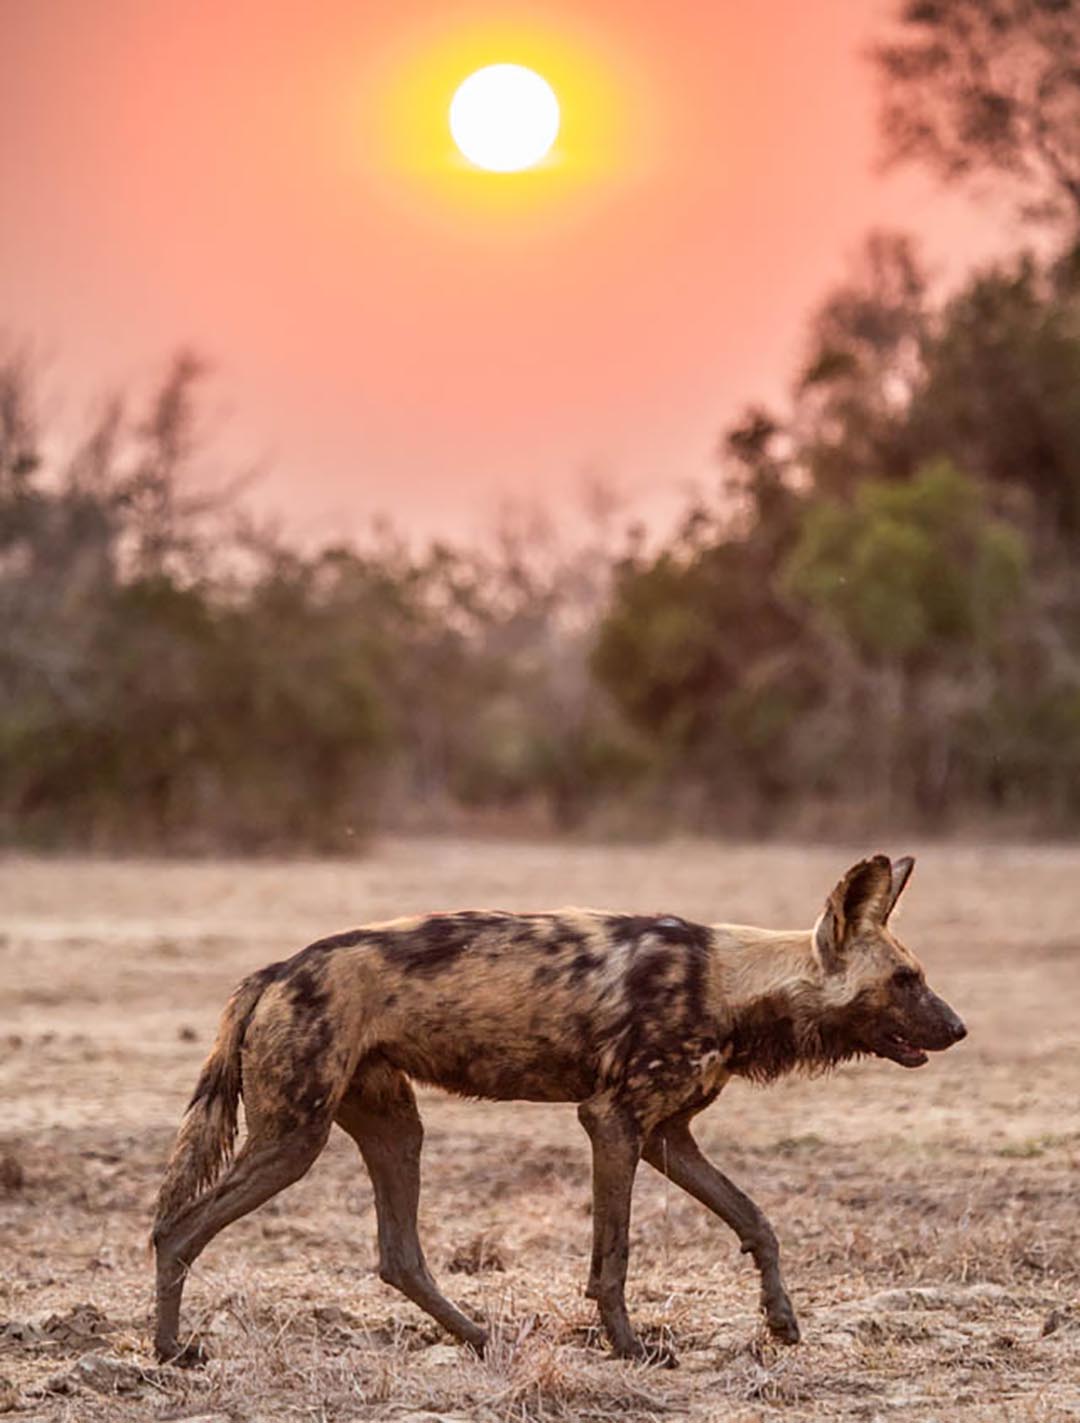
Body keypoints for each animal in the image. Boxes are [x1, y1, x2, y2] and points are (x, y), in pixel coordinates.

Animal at [150, 853, 961, 1366]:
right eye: (906, 979)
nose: (958, 1028)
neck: (732, 983)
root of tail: (278, 968)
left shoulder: (668, 1136)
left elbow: (756, 1220)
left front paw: (782, 1319)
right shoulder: (613, 1123)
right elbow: (615, 1258)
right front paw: (631, 1349)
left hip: (394, 1129)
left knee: (400, 1255)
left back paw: (482, 1340)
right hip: (294, 1140)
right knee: (176, 1229)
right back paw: (171, 1352)